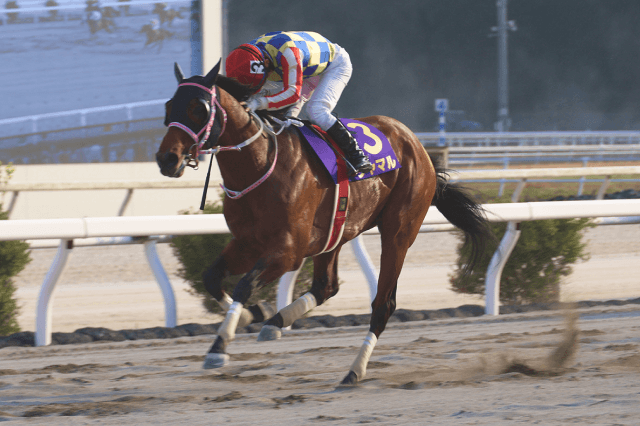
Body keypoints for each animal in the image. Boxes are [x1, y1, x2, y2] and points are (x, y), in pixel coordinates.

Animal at [155, 61, 492, 385]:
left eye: (198, 108)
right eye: (169, 106)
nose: (167, 159)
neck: (260, 164)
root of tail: (417, 145)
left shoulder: (288, 251)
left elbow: (244, 285)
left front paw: (218, 347)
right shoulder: (248, 242)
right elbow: (212, 277)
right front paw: (253, 316)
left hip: (398, 232)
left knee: (383, 305)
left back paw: (354, 371)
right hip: (337, 232)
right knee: (326, 286)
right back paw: (276, 323)